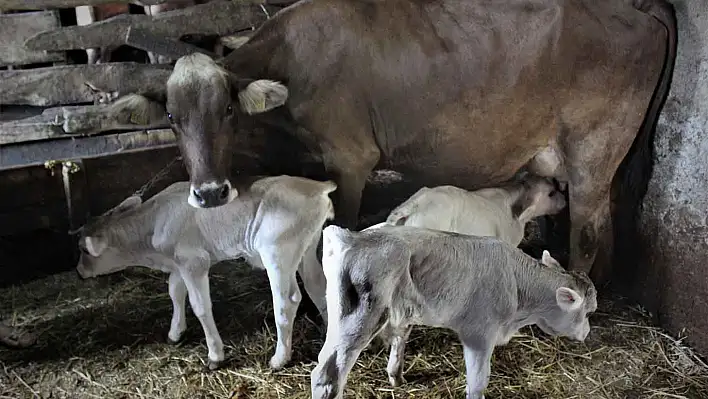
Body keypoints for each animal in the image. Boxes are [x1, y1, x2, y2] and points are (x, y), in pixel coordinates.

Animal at [74, 177, 334, 370]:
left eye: (83, 250)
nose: (78, 272)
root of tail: (318, 186)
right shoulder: (179, 263)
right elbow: (174, 292)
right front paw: (175, 333)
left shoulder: (194, 262)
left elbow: (200, 306)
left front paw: (215, 355)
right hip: (307, 246)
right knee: (318, 287)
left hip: (277, 252)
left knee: (287, 301)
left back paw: (279, 359)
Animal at [312, 225, 596, 399]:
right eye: (588, 312)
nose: (587, 333)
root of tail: (351, 237)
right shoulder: (479, 334)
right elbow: (478, 381)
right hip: (361, 315)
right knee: (327, 375)